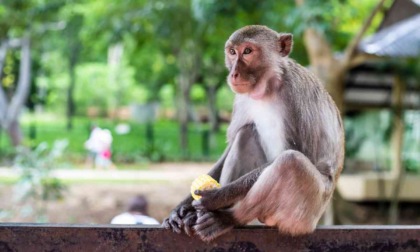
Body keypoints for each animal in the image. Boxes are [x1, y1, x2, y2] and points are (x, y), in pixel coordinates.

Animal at [162, 25, 342, 242]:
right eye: (232, 52)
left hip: (307, 214)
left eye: (247, 51)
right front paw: (181, 209)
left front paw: (218, 196)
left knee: (291, 163)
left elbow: (301, 154)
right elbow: (232, 144)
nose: (234, 73)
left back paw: (227, 218)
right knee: (246, 134)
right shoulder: (241, 99)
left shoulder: (296, 95)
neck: (267, 87)